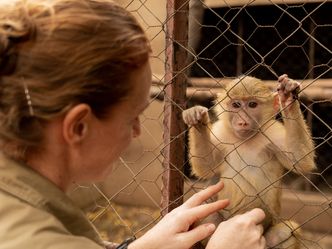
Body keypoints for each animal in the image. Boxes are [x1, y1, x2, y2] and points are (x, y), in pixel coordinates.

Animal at [183, 74, 316, 249]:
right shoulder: (221, 132)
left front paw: (288, 99)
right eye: (236, 105)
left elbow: (300, 160)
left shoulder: (272, 132)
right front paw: (197, 119)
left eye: (252, 105)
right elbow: (206, 166)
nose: (242, 121)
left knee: (286, 232)